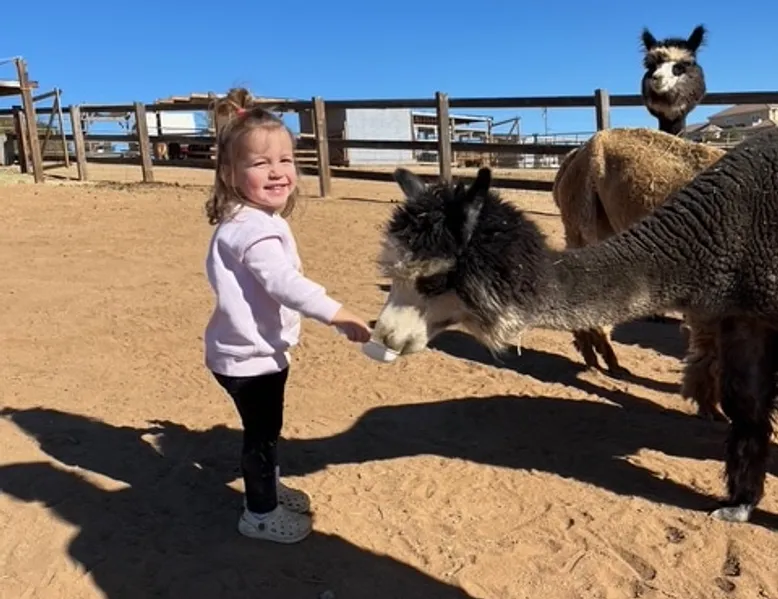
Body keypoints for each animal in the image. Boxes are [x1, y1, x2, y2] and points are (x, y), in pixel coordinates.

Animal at [370, 131, 778, 523]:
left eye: (432, 279)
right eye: (393, 273)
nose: (384, 335)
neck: (732, 229)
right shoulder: (743, 313)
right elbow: (746, 405)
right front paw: (740, 505)